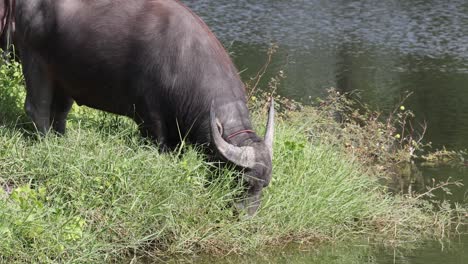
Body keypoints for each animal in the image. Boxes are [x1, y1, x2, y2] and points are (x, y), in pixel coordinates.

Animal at [0, 0, 274, 214]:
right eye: (244, 182)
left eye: (265, 185)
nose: (245, 216)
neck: (184, 61)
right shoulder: (150, 118)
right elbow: (159, 145)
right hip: (35, 61)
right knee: (37, 108)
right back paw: (45, 143)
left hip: (64, 75)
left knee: (60, 112)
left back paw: (61, 142)